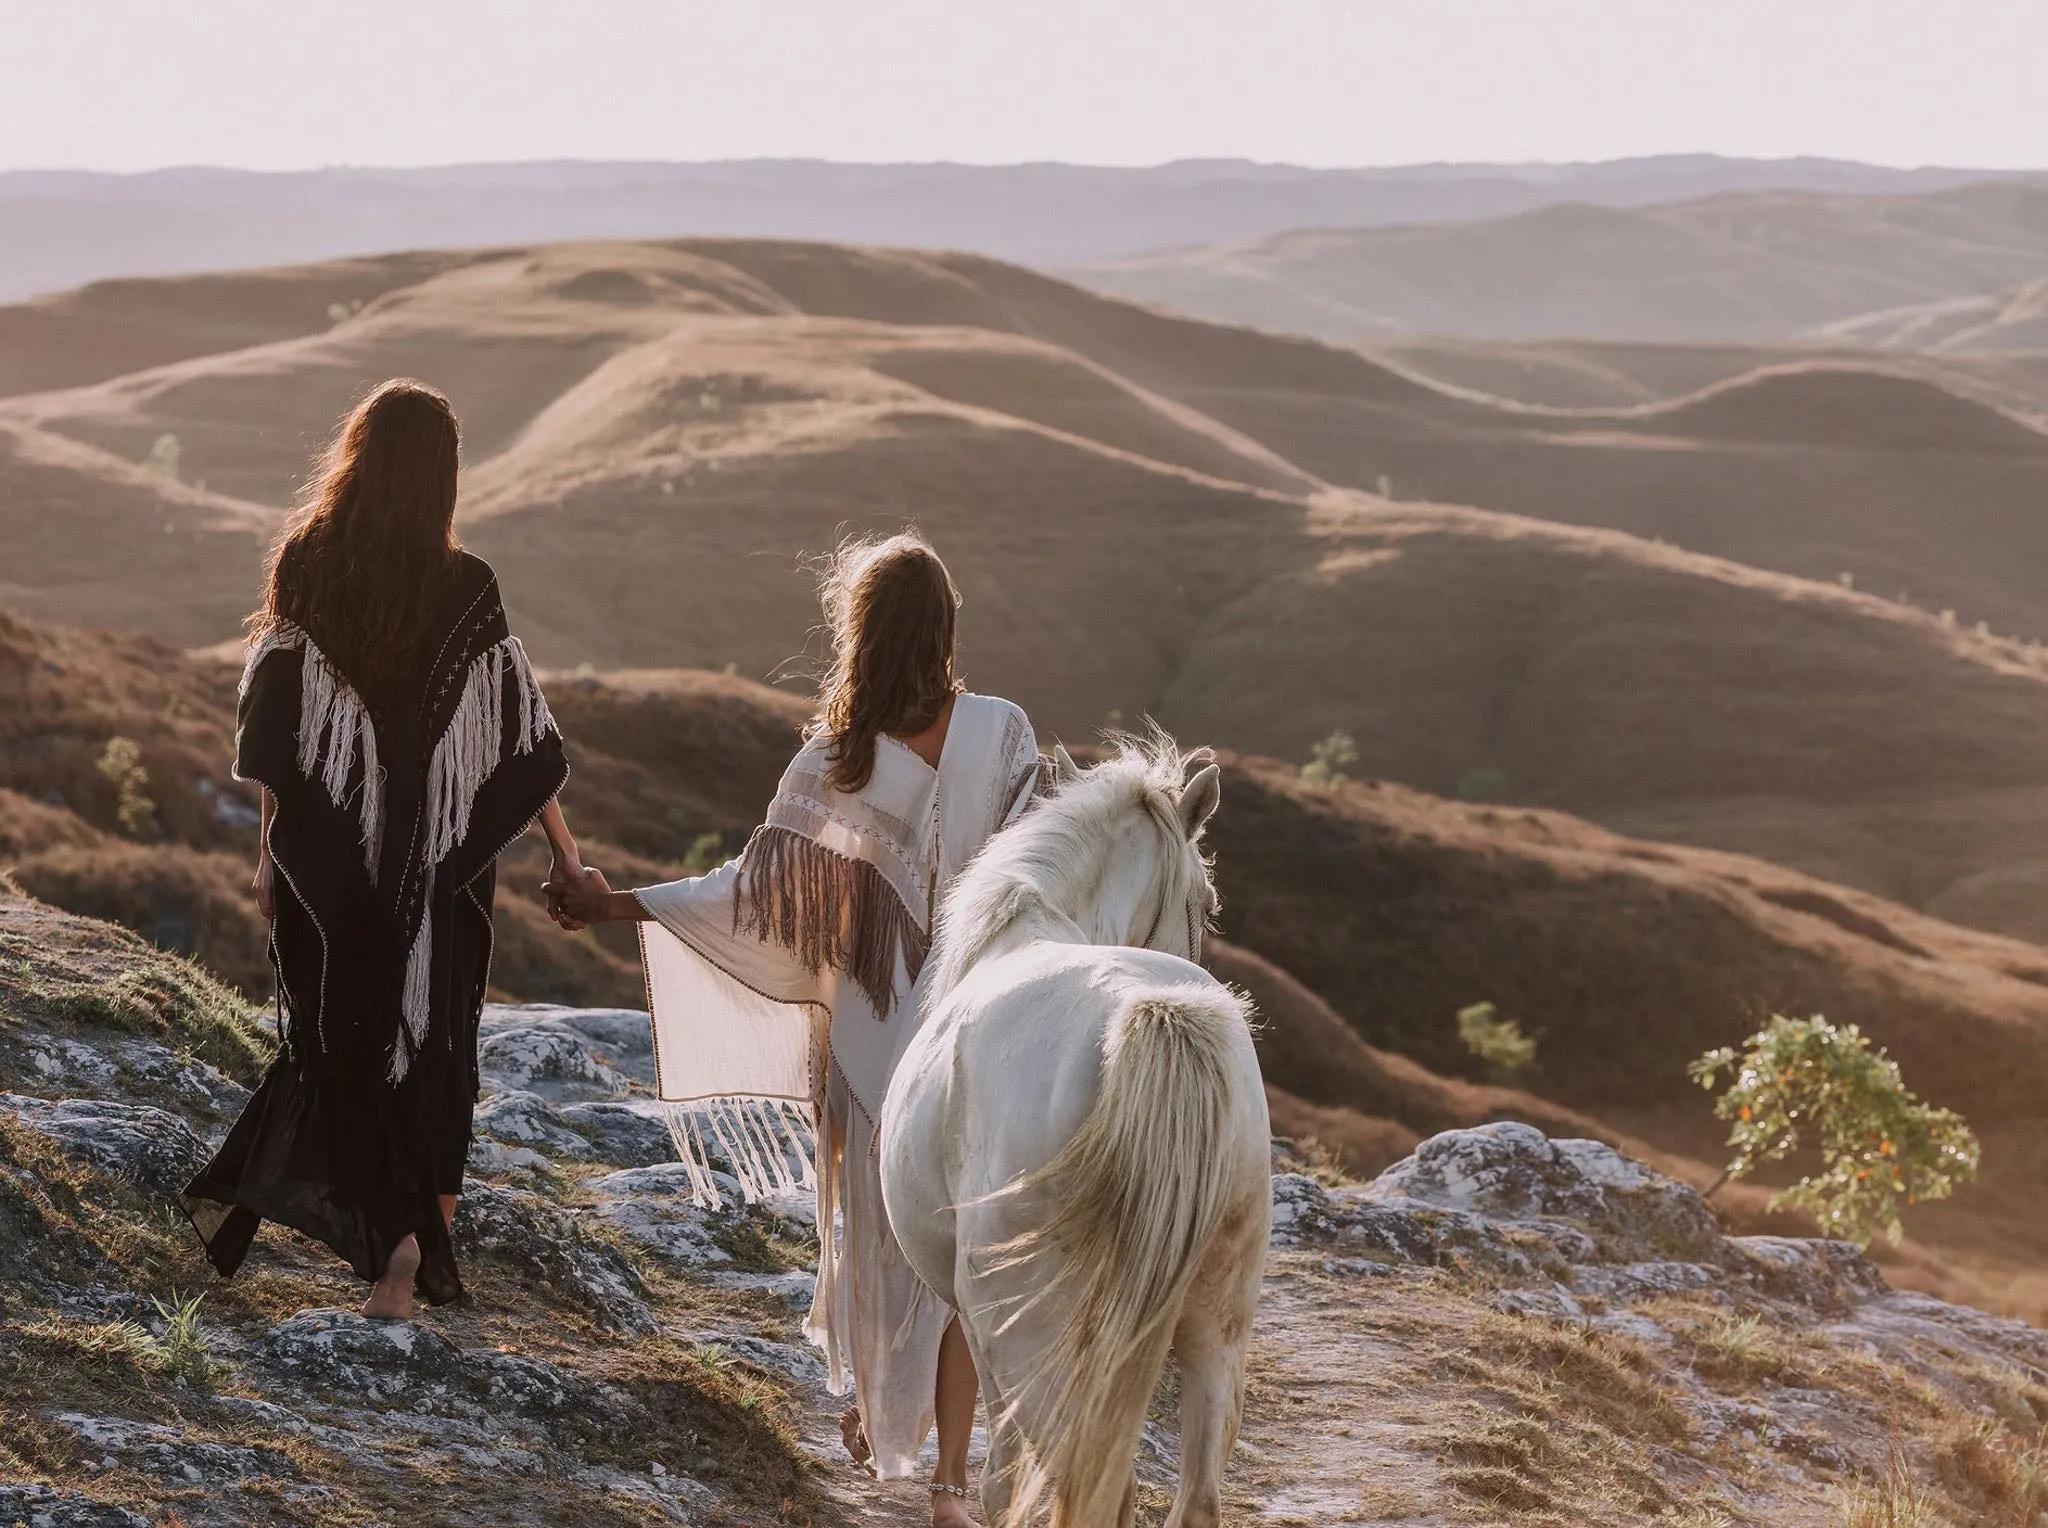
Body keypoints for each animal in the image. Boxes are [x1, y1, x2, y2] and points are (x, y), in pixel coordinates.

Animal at [876, 733, 1261, 1515]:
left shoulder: (982, 1323)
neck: (1033, 919)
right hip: (1218, 1325)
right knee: (1191, 1497)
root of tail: (1153, 1014)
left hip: (1026, 1332)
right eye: (1206, 903)